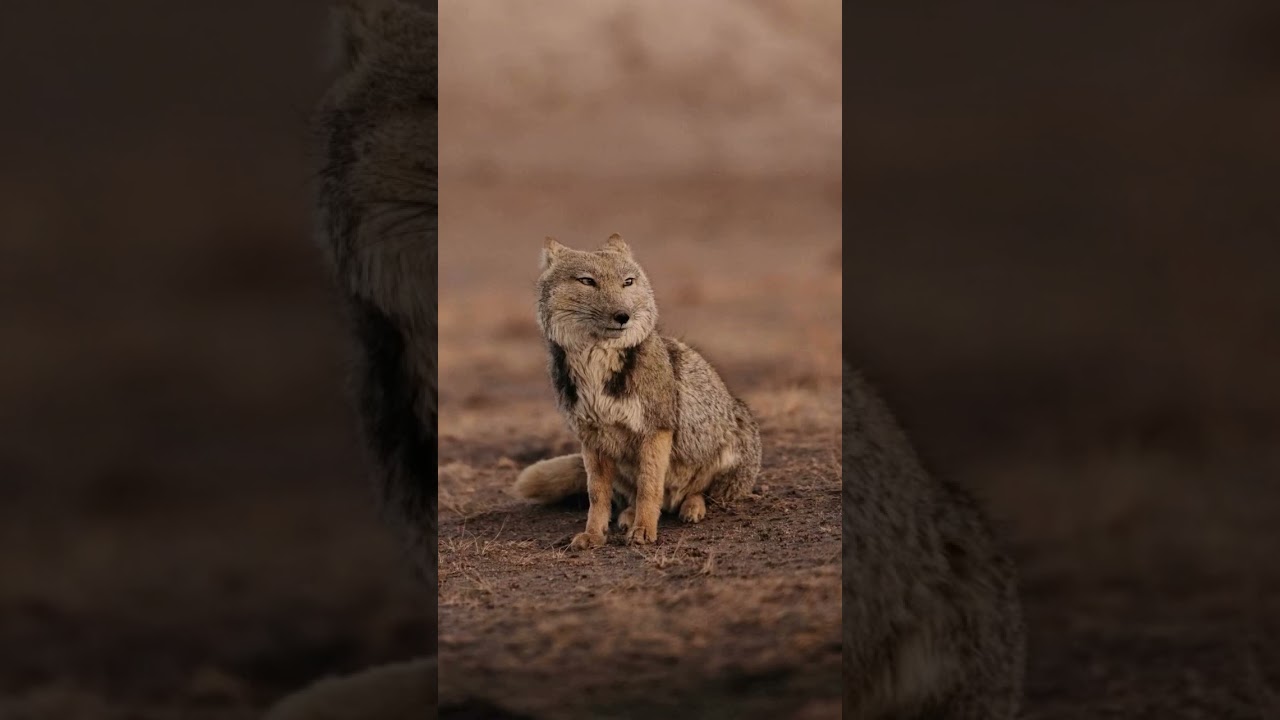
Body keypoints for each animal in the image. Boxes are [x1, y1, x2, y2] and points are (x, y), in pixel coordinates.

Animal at [511, 235, 763, 549]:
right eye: (587, 281)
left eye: (627, 282)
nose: (623, 316)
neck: (596, 365)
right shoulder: (592, 440)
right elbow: (597, 496)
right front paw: (594, 535)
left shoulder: (656, 430)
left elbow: (649, 486)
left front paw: (644, 530)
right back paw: (629, 515)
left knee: (699, 493)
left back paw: (691, 507)